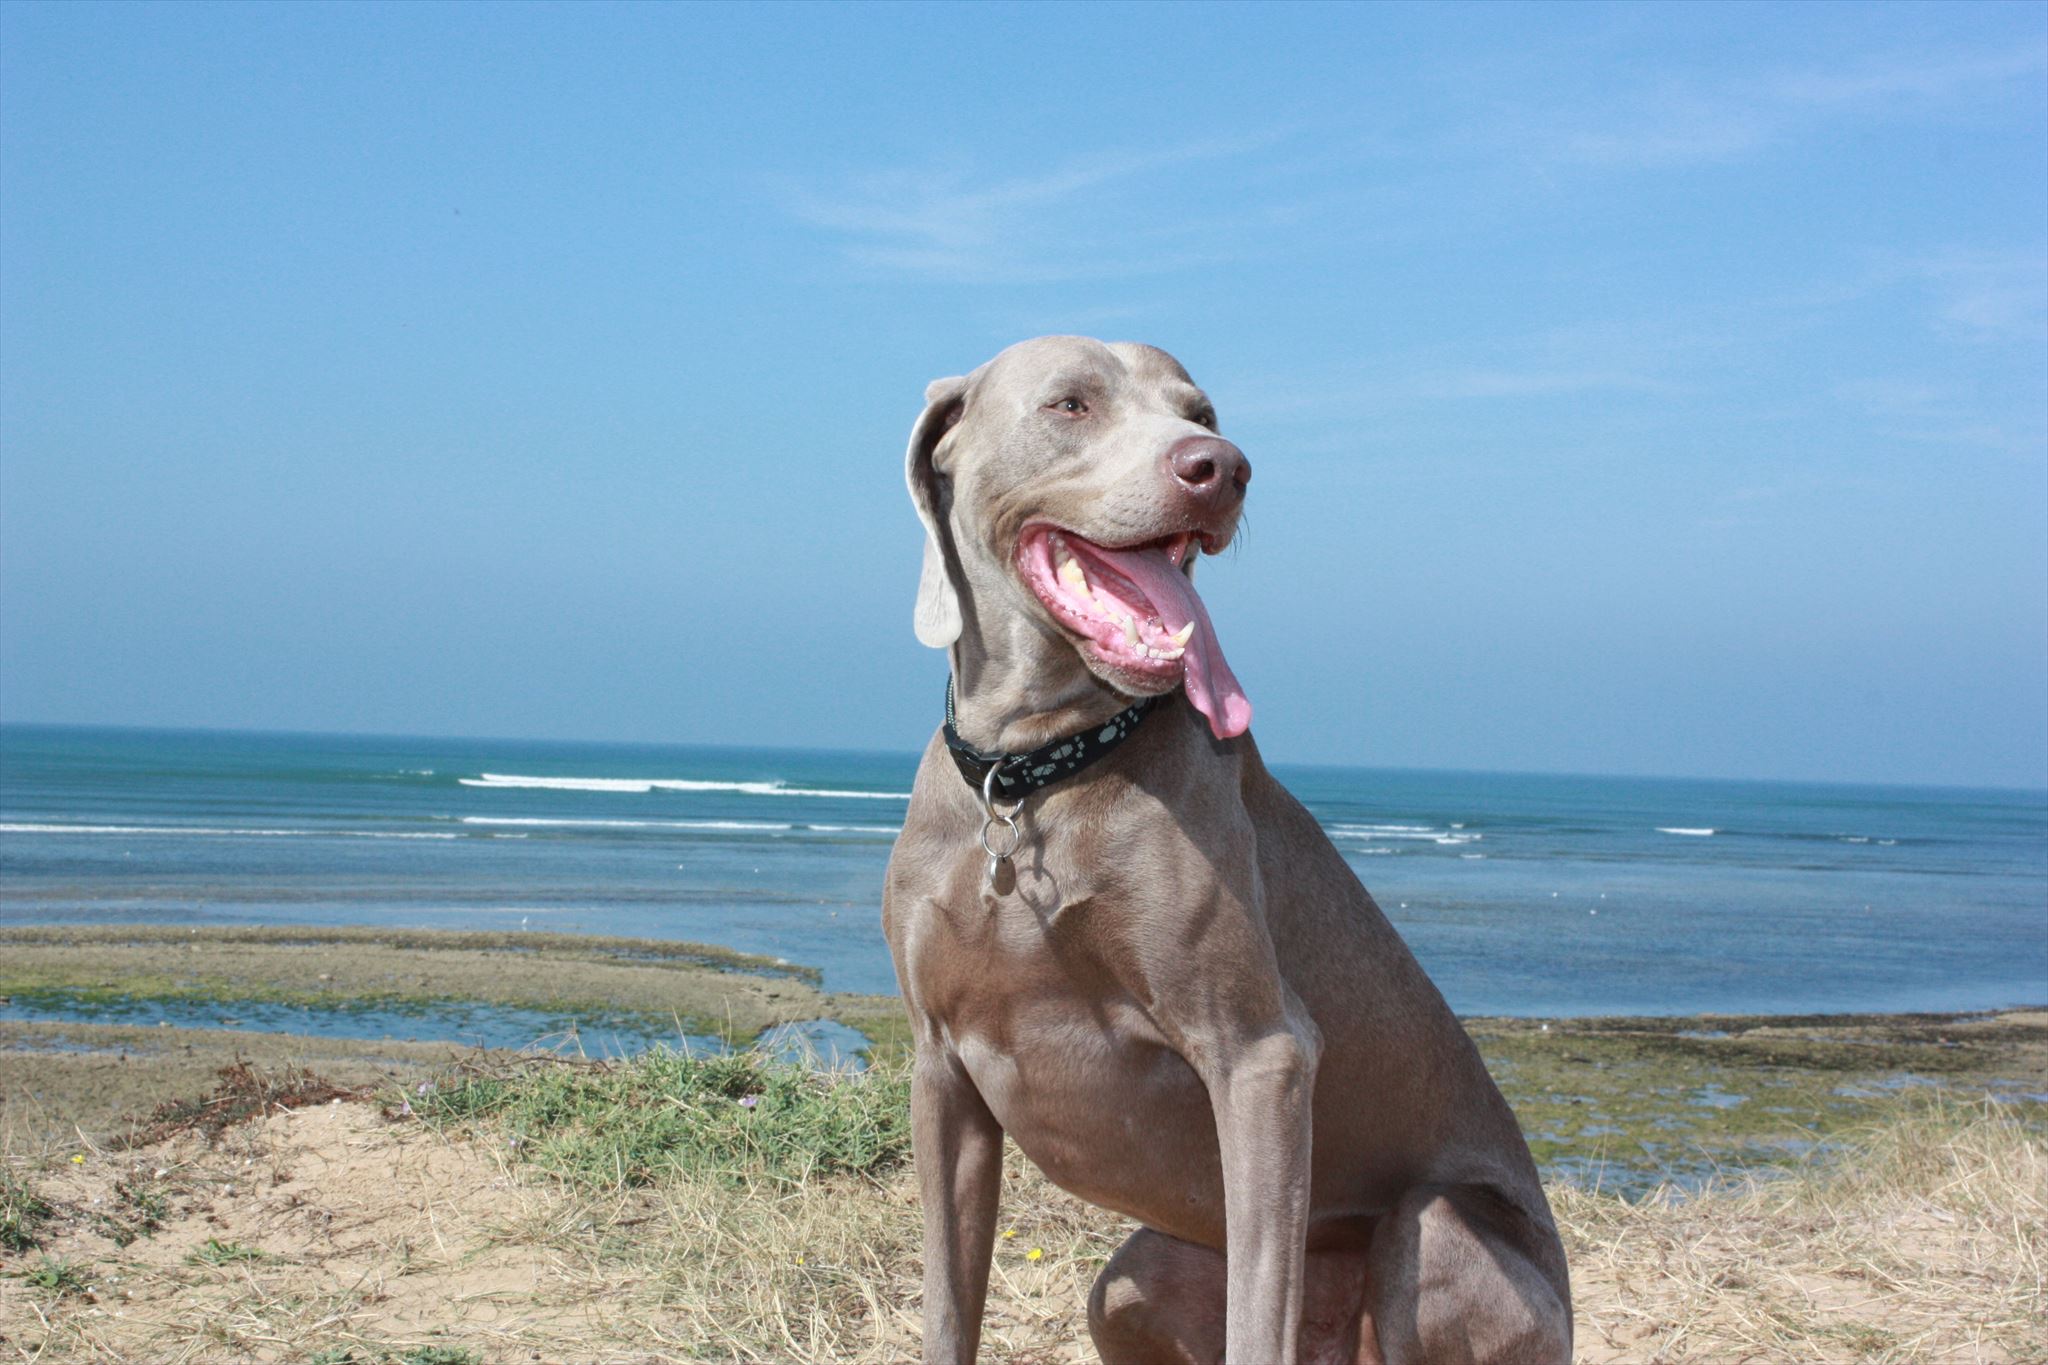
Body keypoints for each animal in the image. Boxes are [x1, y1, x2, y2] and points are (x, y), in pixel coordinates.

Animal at [882, 337, 1570, 1364]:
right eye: (1071, 404)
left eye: (1200, 414)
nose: (1222, 468)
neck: (1034, 773)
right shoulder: (941, 1070)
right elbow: (946, 1306)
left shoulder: (1261, 1060)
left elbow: (1258, 1302)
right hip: (1133, 1280)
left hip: (1438, 1225)